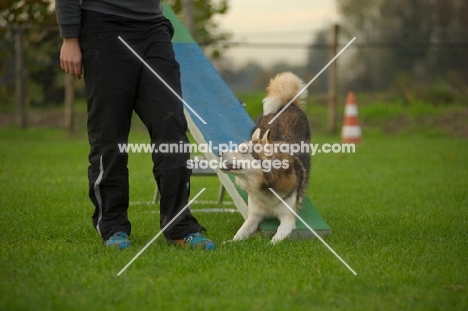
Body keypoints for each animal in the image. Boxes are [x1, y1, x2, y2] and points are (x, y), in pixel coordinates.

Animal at [219, 72, 310, 245]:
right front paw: (228, 243)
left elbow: (277, 237)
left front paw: (269, 245)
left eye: (244, 150)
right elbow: (239, 234)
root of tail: (287, 105)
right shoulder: (253, 216)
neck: (263, 185)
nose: (220, 152)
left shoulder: (287, 219)